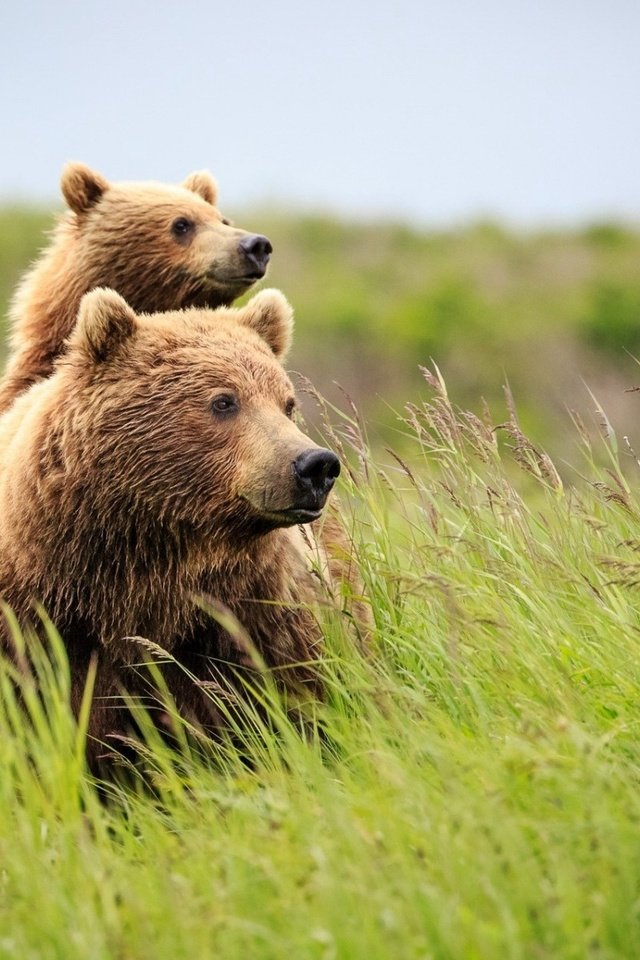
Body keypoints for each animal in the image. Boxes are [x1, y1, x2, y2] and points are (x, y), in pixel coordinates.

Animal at [0, 288, 348, 760]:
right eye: (224, 400)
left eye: (286, 403)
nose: (315, 465)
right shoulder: (36, 623)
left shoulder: (250, 612)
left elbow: (293, 696)